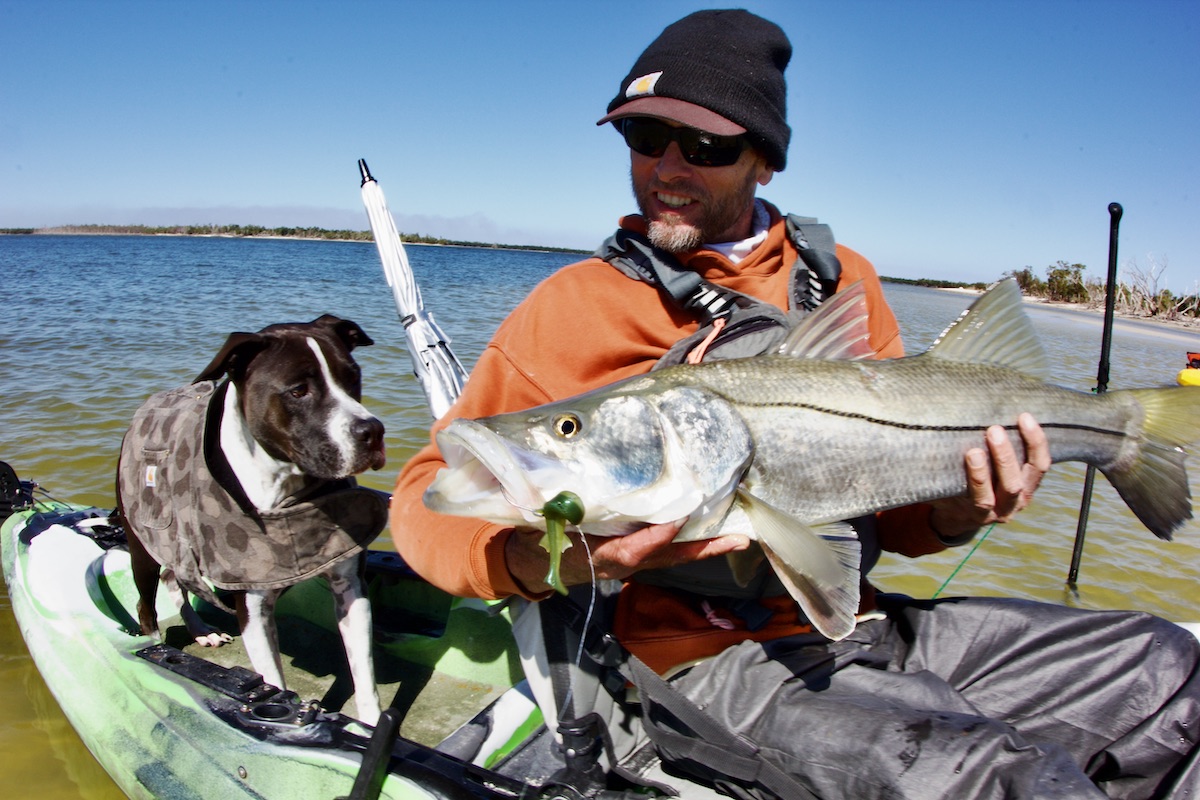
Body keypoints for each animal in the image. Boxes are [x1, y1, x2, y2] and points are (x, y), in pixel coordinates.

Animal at [115, 314, 386, 724]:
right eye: (298, 390)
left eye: (352, 376)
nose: (371, 431)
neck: (289, 489)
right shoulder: (253, 608)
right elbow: (272, 680)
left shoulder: (349, 585)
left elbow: (365, 673)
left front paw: (369, 725)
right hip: (142, 545)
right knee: (147, 604)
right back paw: (158, 649)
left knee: (178, 577)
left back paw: (201, 630)